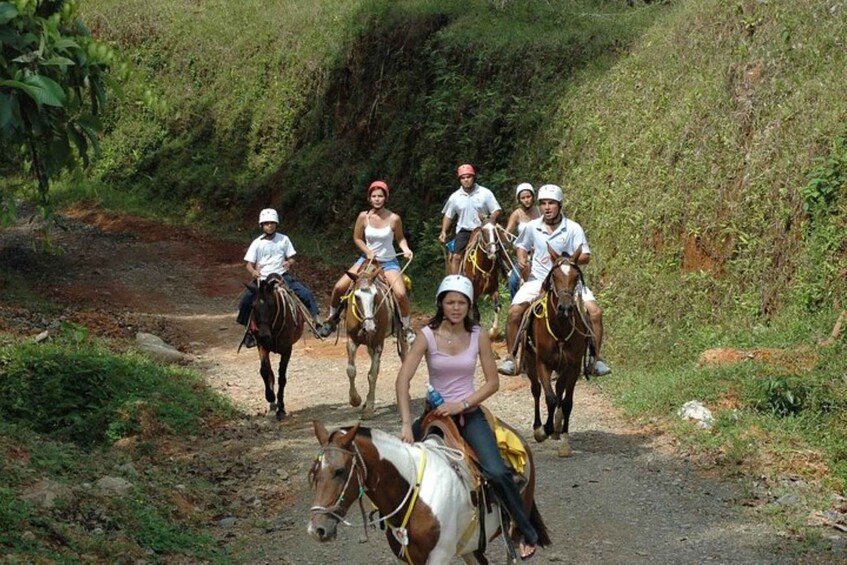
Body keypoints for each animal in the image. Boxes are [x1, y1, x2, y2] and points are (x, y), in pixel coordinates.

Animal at [248, 274, 304, 418]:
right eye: (253, 306)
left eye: (271, 305)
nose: (264, 335)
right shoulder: (262, 346)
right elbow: (264, 371)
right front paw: (270, 397)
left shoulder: (287, 350)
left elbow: (282, 378)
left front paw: (281, 408)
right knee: (270, 373)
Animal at [344, 268, 410, 418]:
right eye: (357, 297)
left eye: (375, 296)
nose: (370, 327)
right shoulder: (352, 341)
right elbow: (351, 370)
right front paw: (355, 399)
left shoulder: (378, 343)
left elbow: (372, 374)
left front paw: (369, 408)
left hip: (401, 334)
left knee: (404, 356)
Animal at [520, 245, 592, 456]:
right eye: (554, 276)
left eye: (576, 276)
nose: (565, 308)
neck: (560, 328)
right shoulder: (542, 363)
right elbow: (550, 398)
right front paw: (544, 430)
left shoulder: (573, 366)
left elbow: (566, 402)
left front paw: (564, 441)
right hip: (530, 361)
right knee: (536, 390)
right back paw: (539, 426)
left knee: (559, 388)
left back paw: (558, 427)